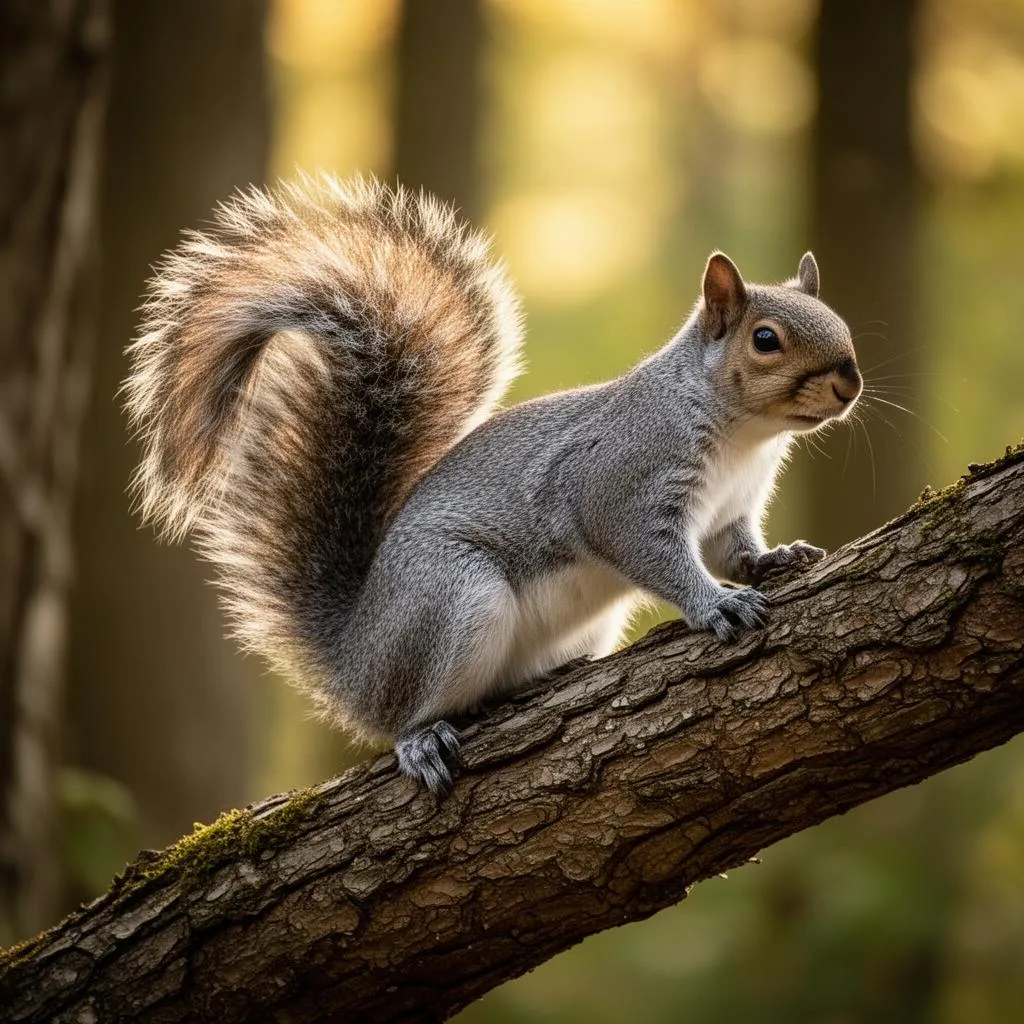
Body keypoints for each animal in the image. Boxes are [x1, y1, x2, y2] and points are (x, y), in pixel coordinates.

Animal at [124, 174, 862, 796]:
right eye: (765, 339)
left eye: (845, 325)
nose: (849, 382)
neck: (744, 439)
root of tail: (354, 659)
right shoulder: (621, 481)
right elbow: (649, 550)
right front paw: (715, 605)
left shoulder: (728, 512)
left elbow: (731, 551)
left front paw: (777, 559)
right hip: (450, 599)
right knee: (402, 713)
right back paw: (418, 739)